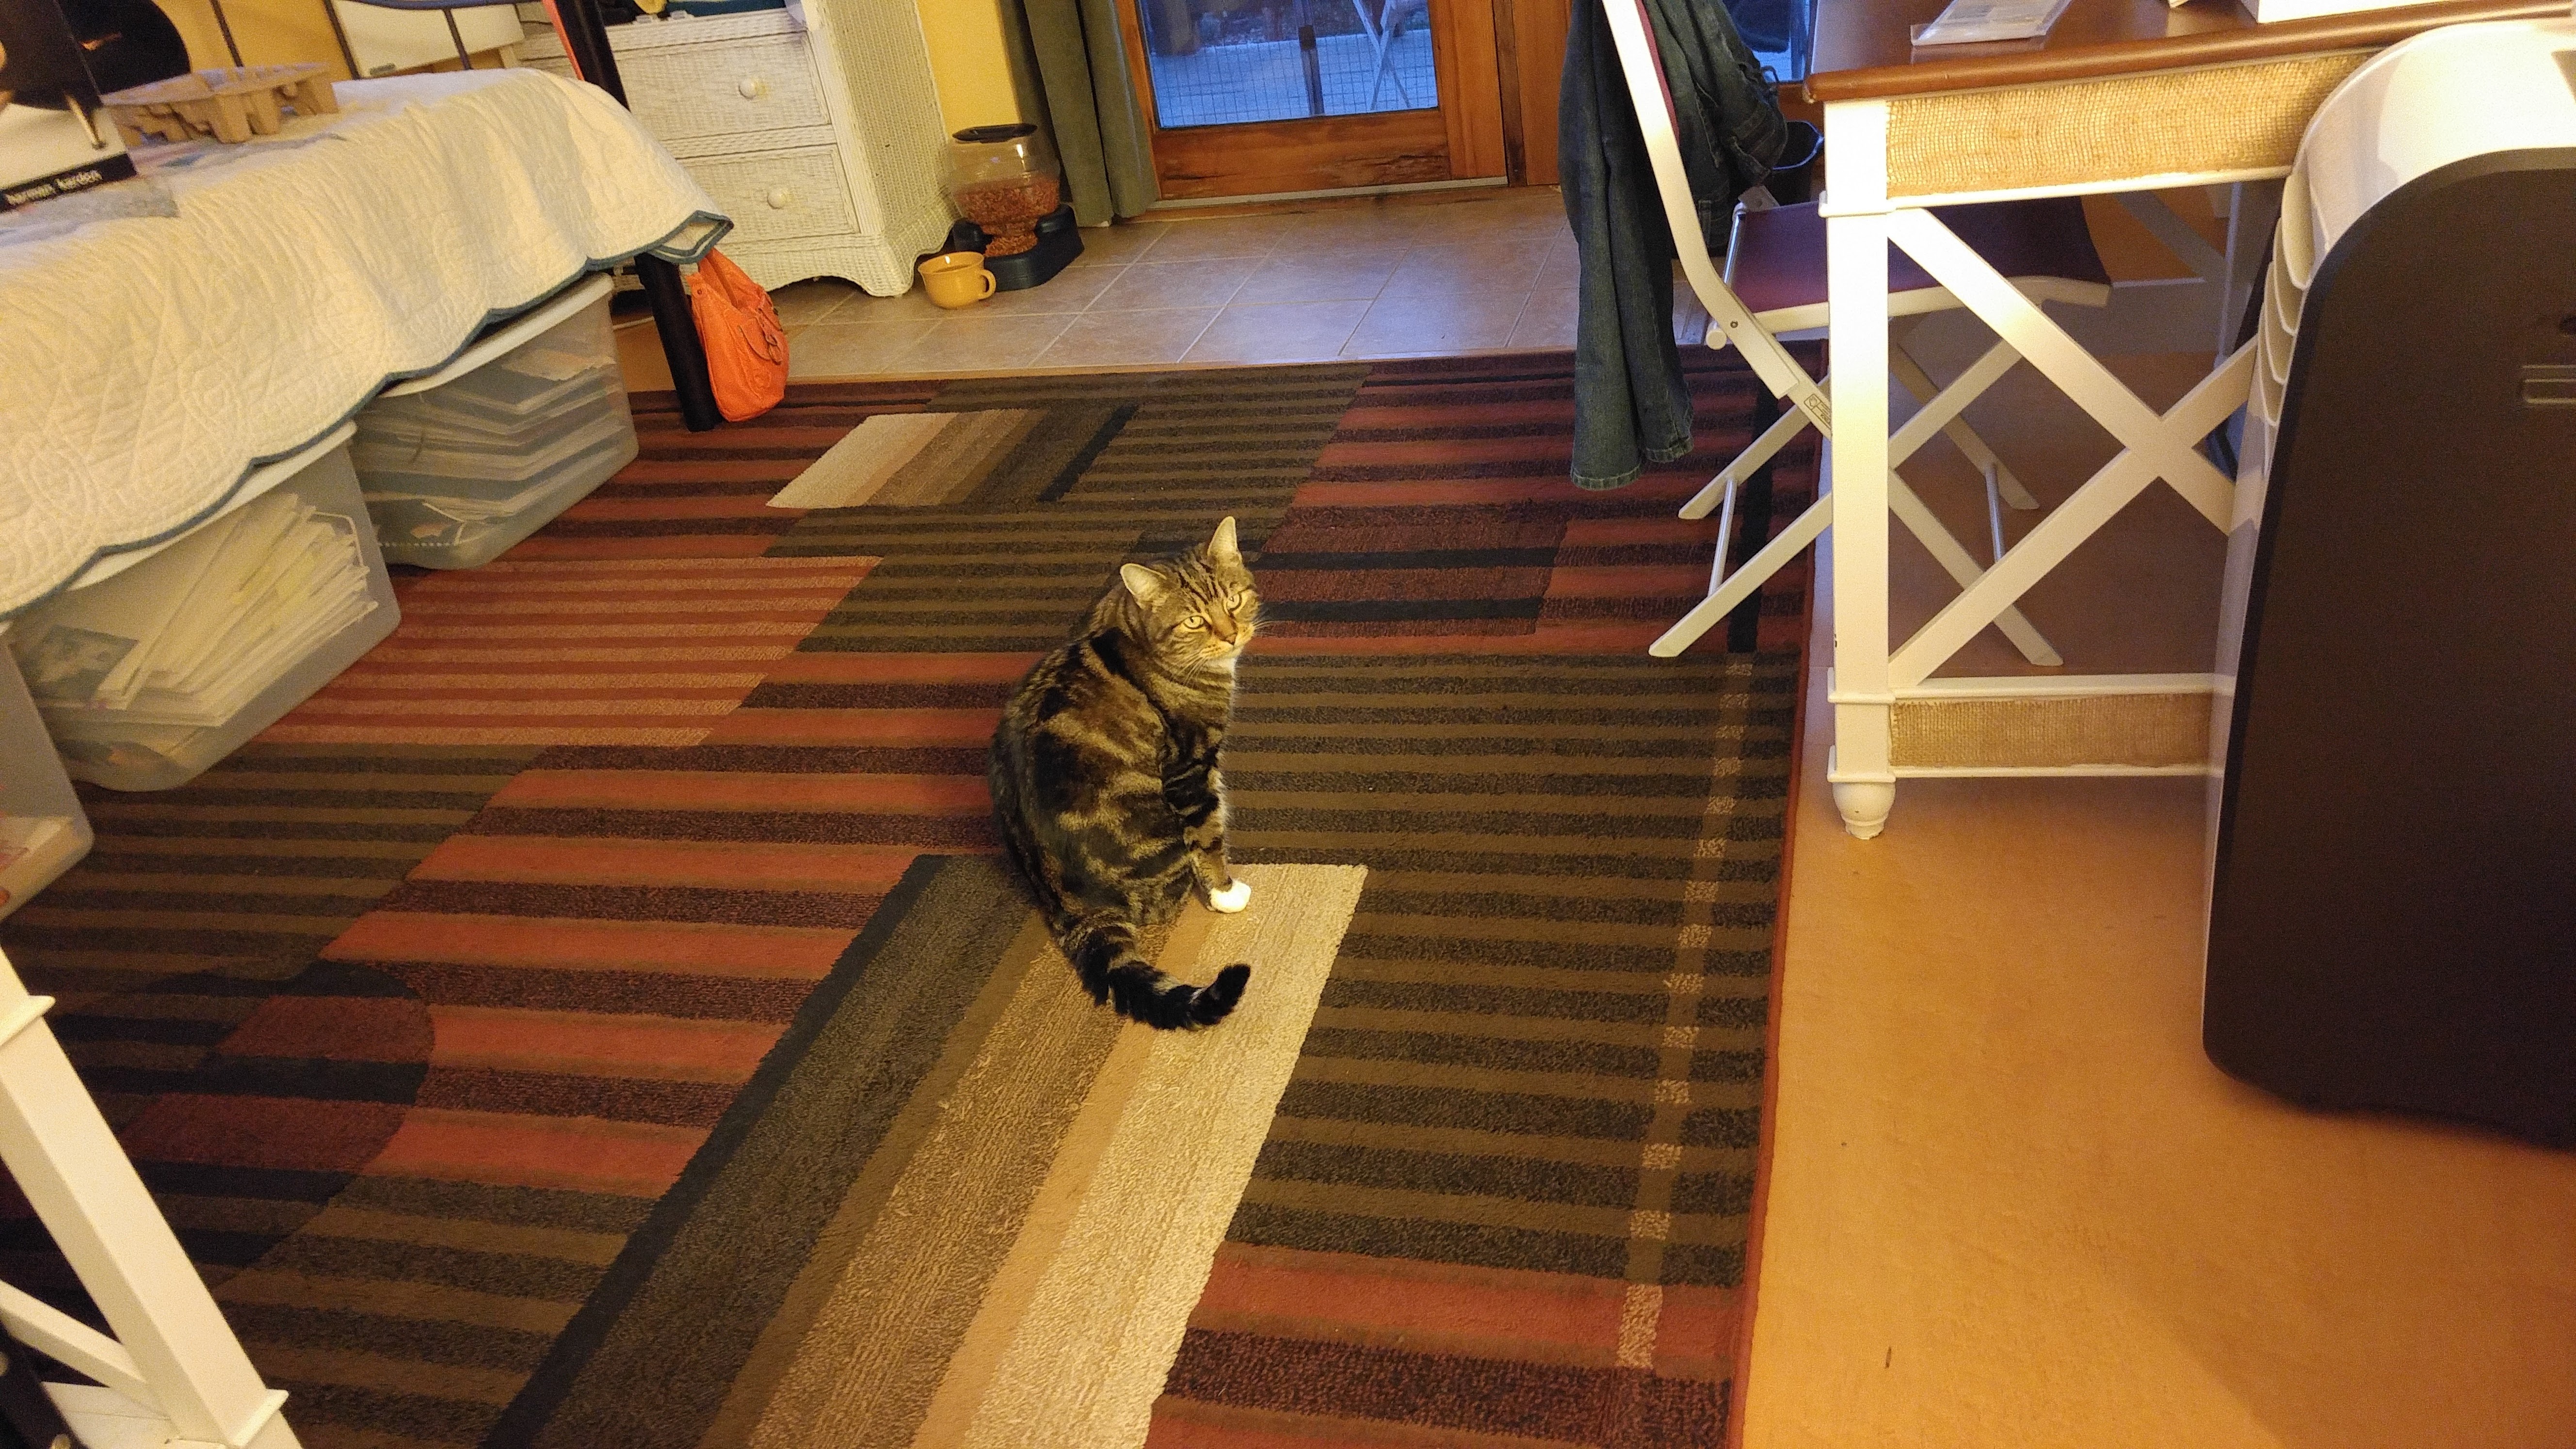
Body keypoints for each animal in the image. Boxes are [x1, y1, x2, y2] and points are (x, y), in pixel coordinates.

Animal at [988, 517, 1261, 1030]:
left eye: (1233, 600)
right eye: (1194, 621)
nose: (1232, 634)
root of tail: (1073, 910)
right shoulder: (1189, 768)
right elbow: (1210, 836)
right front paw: (1226, 892)